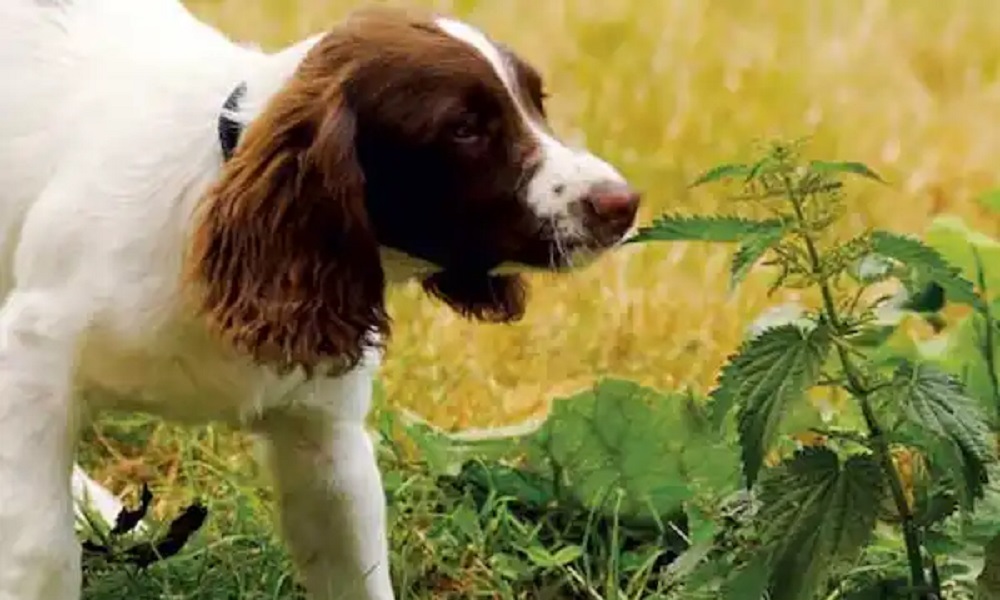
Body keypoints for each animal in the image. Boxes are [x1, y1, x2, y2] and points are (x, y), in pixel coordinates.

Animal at [0, 2, 640, 596]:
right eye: (464, 128)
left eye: (536, 102)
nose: (624, 203)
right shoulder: (33, 363)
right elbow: (40, 546)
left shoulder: (323, 436)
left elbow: (352, 562)